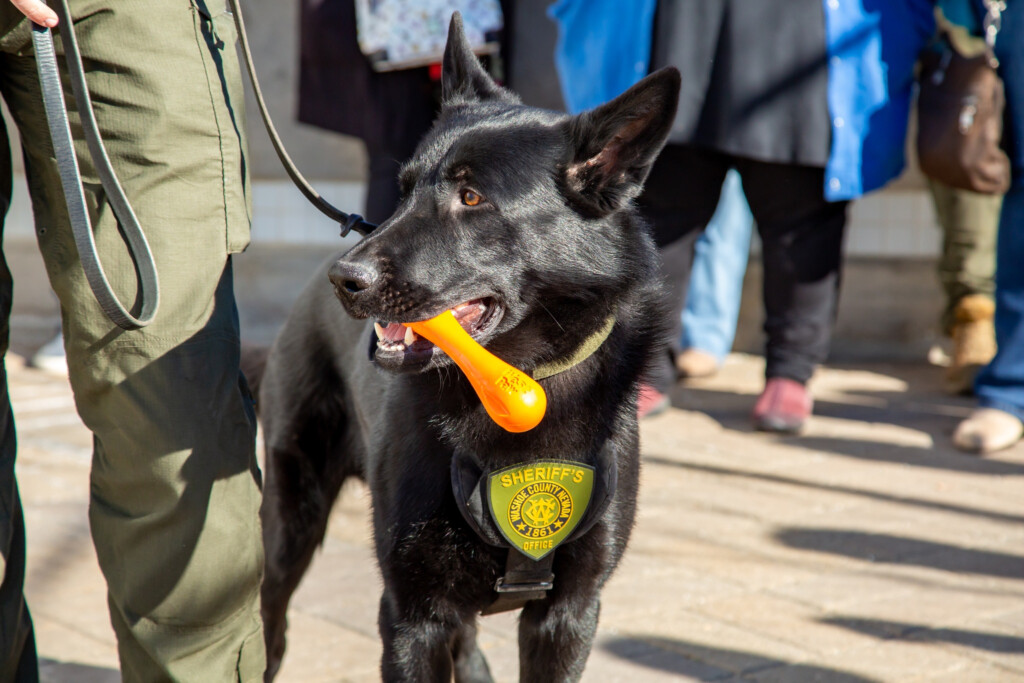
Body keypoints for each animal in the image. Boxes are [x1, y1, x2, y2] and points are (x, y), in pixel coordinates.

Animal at [256, 15, 679, 683]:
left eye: (472, 198)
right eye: (403, 191)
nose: (346, 280)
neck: (524, 381)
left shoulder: (570, 615)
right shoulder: (411, 616)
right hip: (290, 519)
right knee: (269, 621)